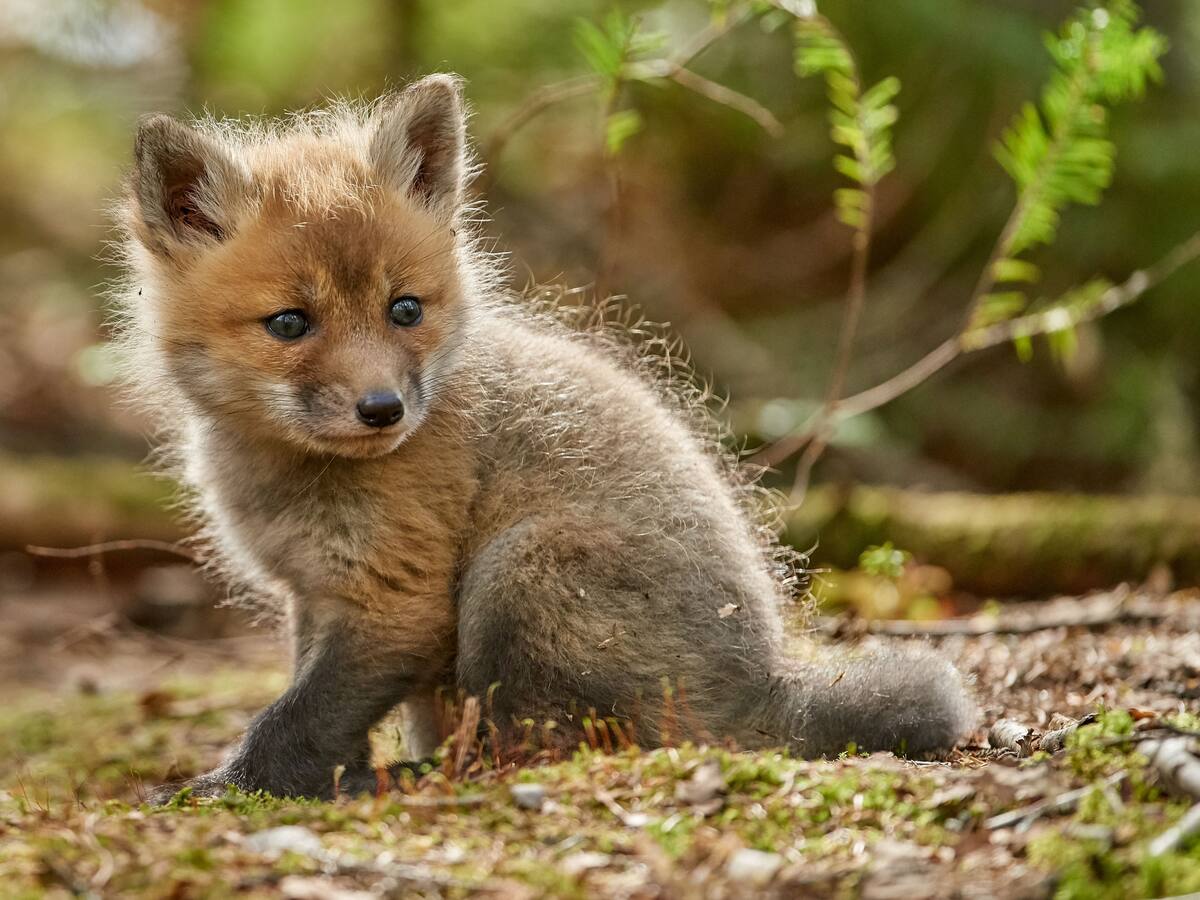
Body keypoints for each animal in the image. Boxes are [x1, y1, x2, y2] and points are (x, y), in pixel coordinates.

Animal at [114, 74, 976, 801]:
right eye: (290, 323)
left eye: (404, 309)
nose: (383, 410)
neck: (293, 473)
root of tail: (761, 687)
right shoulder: (314, 593)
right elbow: (319, 709)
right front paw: (328, 776)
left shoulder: (395, 600)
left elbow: (292, 719)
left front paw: (231, 787)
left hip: (521, 572)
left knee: (546, 746)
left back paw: (431, 776)